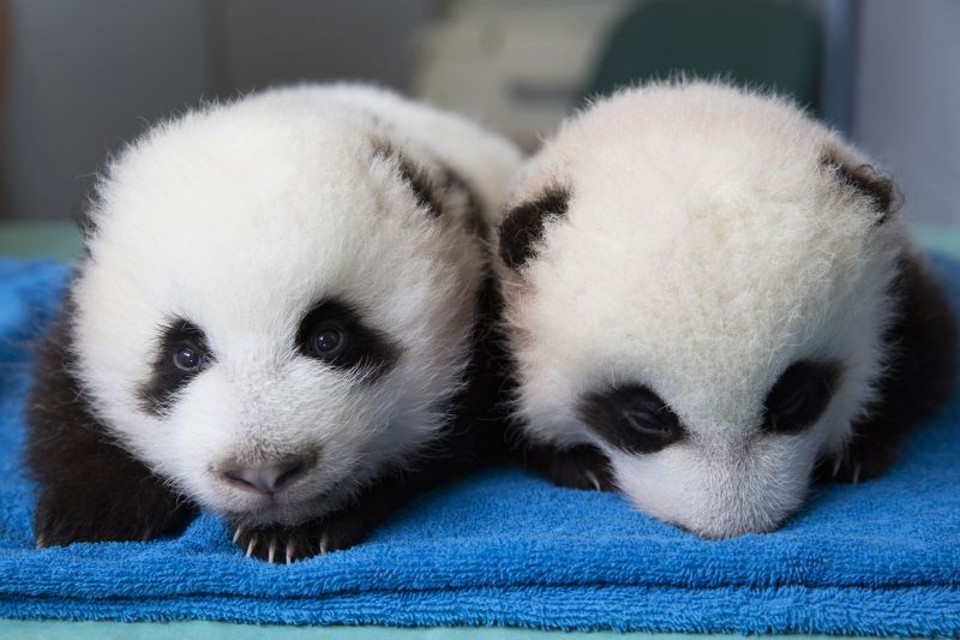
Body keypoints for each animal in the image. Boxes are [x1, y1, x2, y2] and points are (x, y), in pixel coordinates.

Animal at [28, 84, 522, 562]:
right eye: (185, 354)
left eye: (328, 338)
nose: (263, 473)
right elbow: (63, 395)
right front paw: (92, 512)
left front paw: (294, 530)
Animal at [493, 81, 956, 539]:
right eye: (645, 416)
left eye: (793, 395)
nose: (733, 525)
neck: (697, 116)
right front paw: (580, 466)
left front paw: (857, 451)